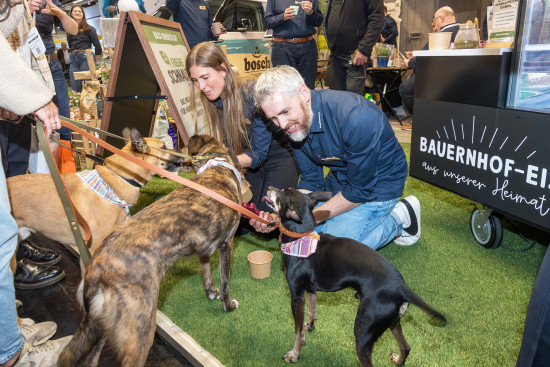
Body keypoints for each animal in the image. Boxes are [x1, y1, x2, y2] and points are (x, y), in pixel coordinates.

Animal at [56, 135, 244, 367]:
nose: (179, 156)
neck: (217, 166)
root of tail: (96, 268)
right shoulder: (228, 244)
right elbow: (225, 283)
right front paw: (228, 306)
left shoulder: (204, 249)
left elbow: (206, 272)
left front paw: (210, 292)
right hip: (141, 329)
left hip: (100, 326)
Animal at [264, 188, 448, 367]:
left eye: (280, 194)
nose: (269, 188)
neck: (302, 236)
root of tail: (401, 286)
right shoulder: (311, 289)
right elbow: (312, 310)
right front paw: (310, 324)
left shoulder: (296, 297)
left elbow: (297, 332)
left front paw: (294, 354)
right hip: (392, 321)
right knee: (406, 346)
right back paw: (399, 360)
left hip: (363, 333)